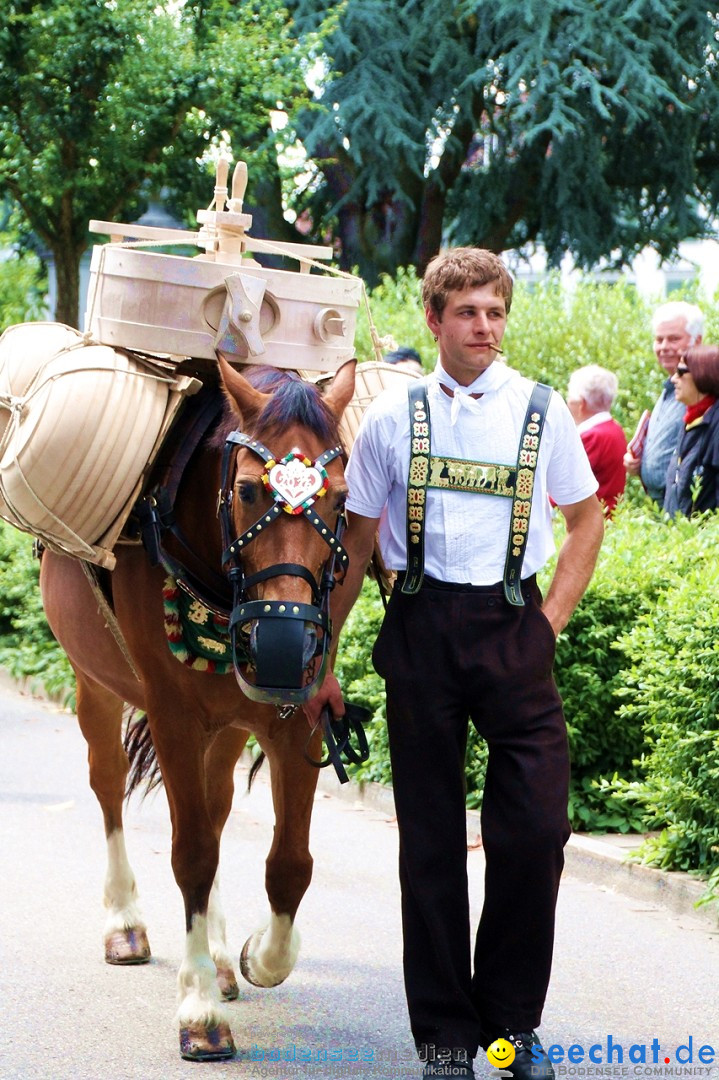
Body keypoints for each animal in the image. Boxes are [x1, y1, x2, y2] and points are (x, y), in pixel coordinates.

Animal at [37, 356, 356, 1062]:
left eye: (342, 499)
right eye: (248, 492)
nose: (283, 645)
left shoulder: (292, 719)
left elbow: (289, 865)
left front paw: (259, 955)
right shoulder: (174, 717)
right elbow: (191, 855)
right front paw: (200, 1008)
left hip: (229, 723)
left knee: (215, 808)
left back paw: (217, 948)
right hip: (93, 677)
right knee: (109, 783)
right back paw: (125, 922)